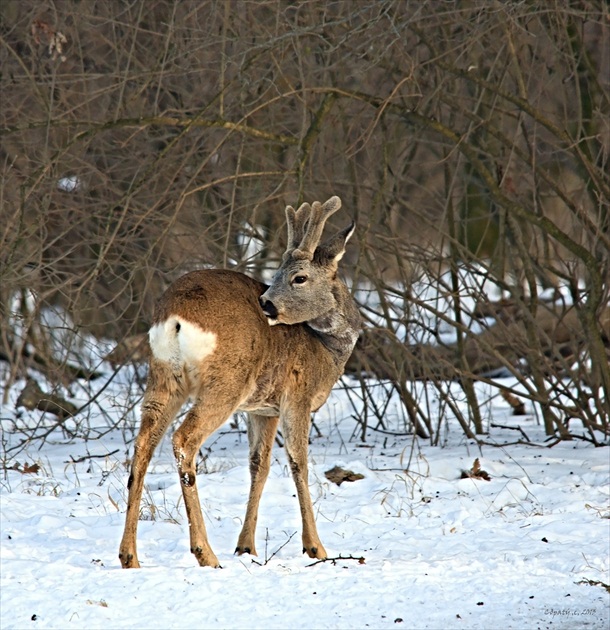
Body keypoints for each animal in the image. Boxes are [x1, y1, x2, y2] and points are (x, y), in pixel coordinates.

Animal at [116, 195, 358, 572]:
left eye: (298, 277)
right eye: (281, 275)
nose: (267, 304)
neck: (325, 347)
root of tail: (174, 316)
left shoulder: (262, 408)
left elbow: (259, 465)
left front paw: (246, 546)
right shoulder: (297, 396)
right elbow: (298, 462)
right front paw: (315, 547)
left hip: (163, 376)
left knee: (143, 444)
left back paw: (129, 556)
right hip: (227, 380)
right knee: (184, 439)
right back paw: (205, 552)